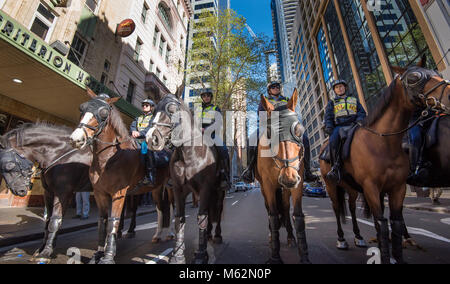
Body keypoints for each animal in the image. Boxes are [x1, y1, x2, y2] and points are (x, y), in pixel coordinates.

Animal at [70, 91, 171, 264]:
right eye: (82, 108)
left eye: (104, 113)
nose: (76, 139)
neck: (109, 158)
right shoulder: (100, 194)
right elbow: (102, 222)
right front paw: (98, 253)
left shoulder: (119, 194)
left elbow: (114, 221)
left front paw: (108, 256)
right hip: (156, 189)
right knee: (160, 209)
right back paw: (157, 235)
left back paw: (170, 233)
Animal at [256, 89, 310, 264]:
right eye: (269, 133)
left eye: (298, 130)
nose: (288, 178)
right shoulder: (268, 185)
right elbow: (273, 216)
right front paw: (275, 256)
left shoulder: (298, 183)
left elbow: (298, 216)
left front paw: (304, 257)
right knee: (269, 209)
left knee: (286, 208)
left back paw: (291, 237)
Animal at [320, 55, 450, 264]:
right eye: (413, 78)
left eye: (436, 73)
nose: (448, 96)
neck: (383, 141)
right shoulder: (371, 186)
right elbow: (381, 221)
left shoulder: (397, 187)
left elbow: (394, 222)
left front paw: (396, 255)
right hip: (332, 185)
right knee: (336, 208)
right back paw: (342, 239)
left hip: (351, 187)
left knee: (352, 208)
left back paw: (359, 237)